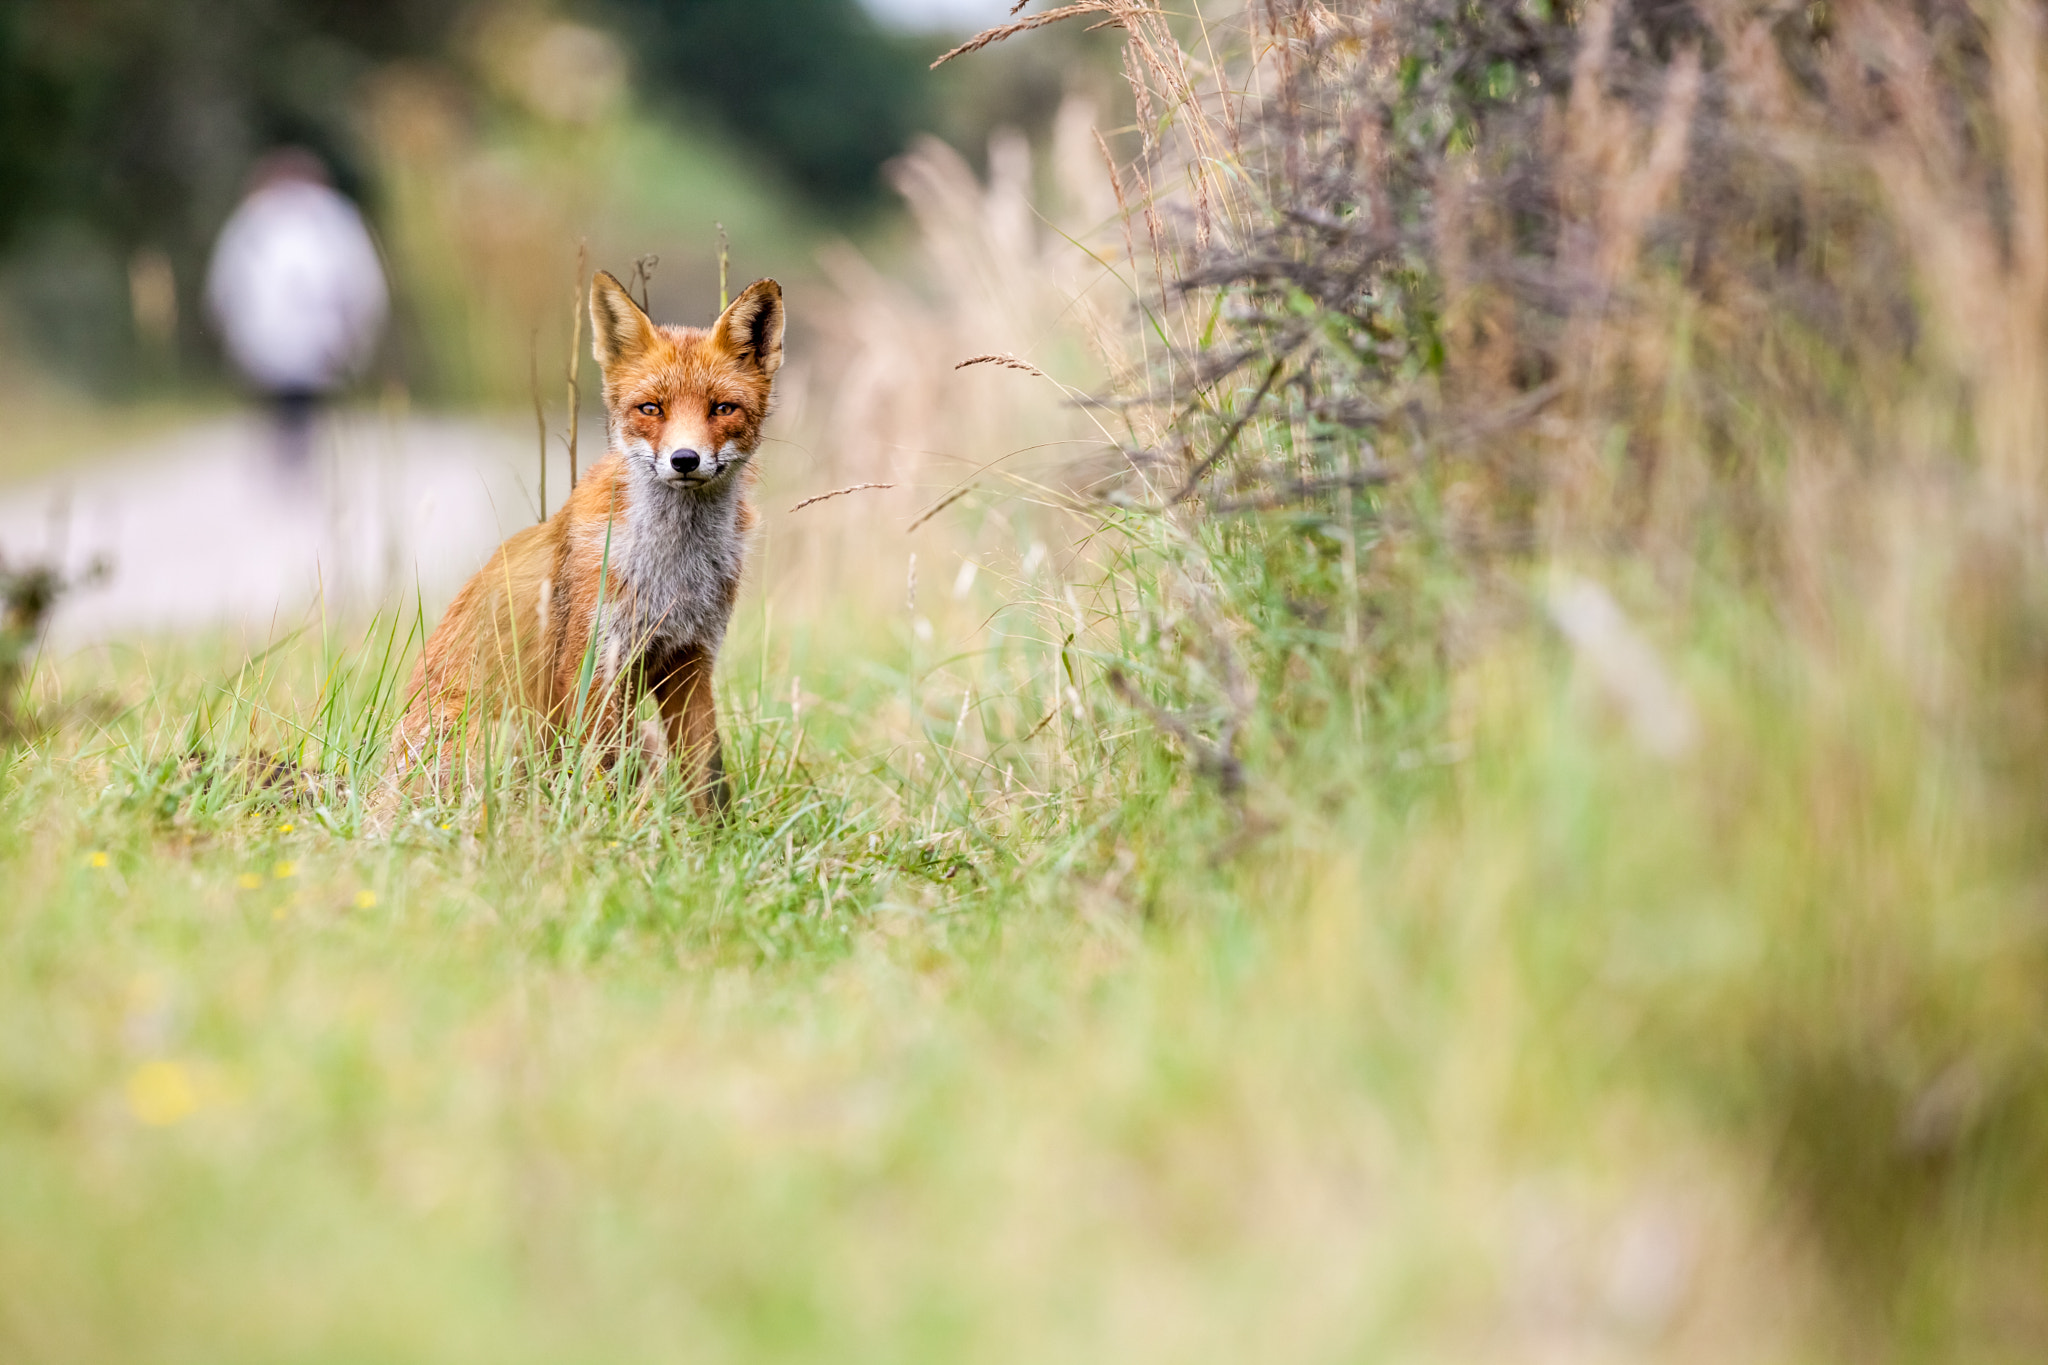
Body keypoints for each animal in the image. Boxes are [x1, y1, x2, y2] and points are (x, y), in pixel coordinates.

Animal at [389, 272, 782, 818]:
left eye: (722, 409)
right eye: (651, 409)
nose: (684, 459)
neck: (672, 570)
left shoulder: (690, 657)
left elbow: (706, 773)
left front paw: (712, 837)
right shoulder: (592, 660)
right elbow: (600, 773)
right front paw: (605, 830)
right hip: (503, 731)